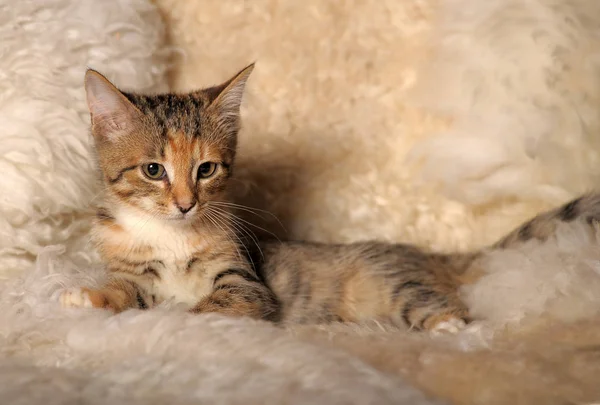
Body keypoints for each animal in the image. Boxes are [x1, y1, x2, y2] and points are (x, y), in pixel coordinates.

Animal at [59, 64, 596, 332]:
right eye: (154, 170)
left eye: (205, 169)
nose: (187, 204)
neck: (171, 237)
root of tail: (423, 253)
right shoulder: (137, 274)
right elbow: (126, 292)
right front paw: (88, 296)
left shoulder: (245, 283)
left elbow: (208, 306)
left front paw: (178, 319)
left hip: (397, 285)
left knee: (442, 303)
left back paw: (452, 327)